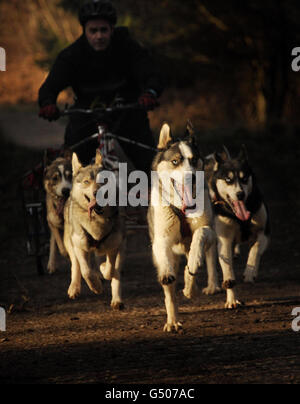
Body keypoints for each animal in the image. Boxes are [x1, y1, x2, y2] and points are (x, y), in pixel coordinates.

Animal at [63, 149, 125, 310]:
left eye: (104, 180)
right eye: (86, 182)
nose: (97, 192)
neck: (97, 222)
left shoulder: (114, 246)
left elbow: (110, 270)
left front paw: (103, 271)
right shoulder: (79, 246)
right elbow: (86, 271)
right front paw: (95, 286)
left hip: (120, 246)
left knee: (115, 272)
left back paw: (117, 300)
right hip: (70, 243)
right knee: (76, 265)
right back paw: (74, 287)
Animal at [148, 122, 218, 332]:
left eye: (194, 160)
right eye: (175, 161)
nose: (192, 177)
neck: (182, 208)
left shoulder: (209, 230)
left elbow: (200, 234)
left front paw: (193, 264)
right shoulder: (160, 239)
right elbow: (164, 258)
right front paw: (167, 272)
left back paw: (190, 285)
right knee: (169, 292)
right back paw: (172, 321)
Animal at [205, 147, 270, 308]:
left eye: (244, 178)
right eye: (228, 179)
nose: (240, 194)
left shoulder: (264, 232)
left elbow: (255, 249)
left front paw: (250, 271)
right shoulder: (224, 240)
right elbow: (228, 271)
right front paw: (232, 299)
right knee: (211, 261)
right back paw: (212, 286)